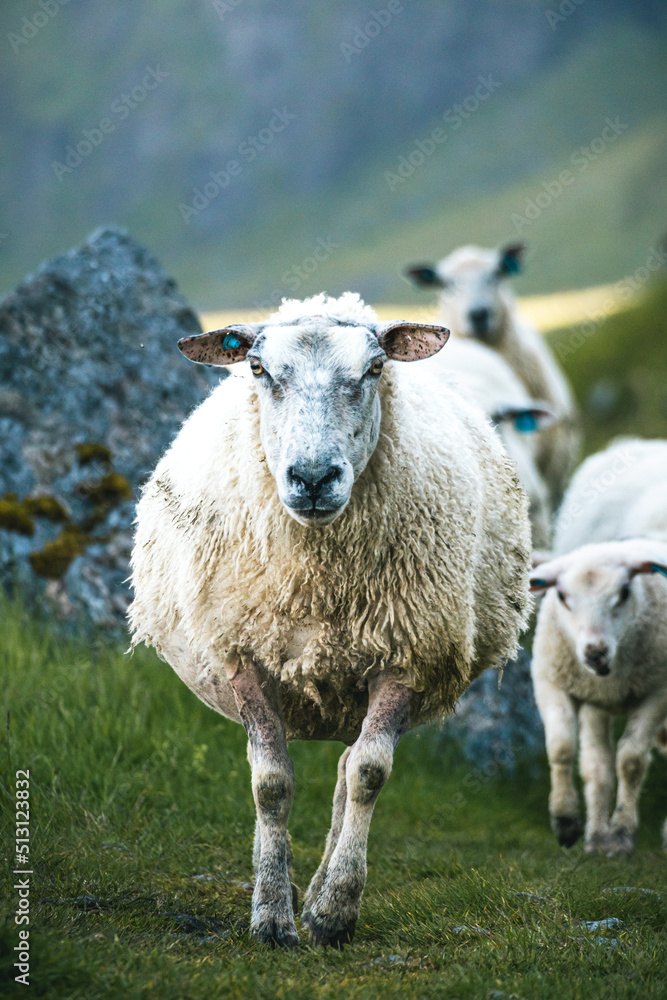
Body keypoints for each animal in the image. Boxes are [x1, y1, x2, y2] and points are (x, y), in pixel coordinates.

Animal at [129, 291, 531, 948]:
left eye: (375, 368)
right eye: (258, 368)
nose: (313, 478)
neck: (322, 582)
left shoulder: (405, 653)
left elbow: (368, 773)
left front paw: (334, 911)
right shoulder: (244, 653)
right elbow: (271, 783)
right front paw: (271, 915)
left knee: (348, 767)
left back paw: (318, 894)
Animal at [530, 438, 667, 855]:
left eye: (623, 592)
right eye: (562, 595)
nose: (595, 652)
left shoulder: (658, 692)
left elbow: (631, 760)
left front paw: (621, 834)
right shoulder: (555, 683)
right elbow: (564, 750)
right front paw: (569, 823)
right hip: (595, 703)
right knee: (595, 764)